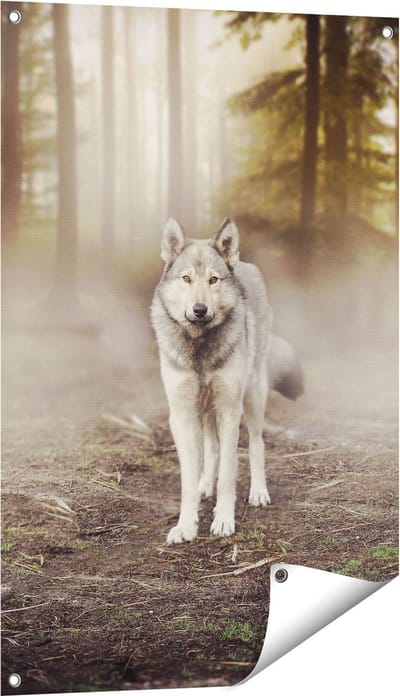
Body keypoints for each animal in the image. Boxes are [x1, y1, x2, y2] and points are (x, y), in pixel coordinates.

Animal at [151, 218, 303, 544]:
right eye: (186, 279)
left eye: (213, 280)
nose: (199, 310)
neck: (200, 347)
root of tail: (244, 263)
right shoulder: (182, 415)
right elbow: (188, 478)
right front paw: (186, 525)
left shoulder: (230, 411)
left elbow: (229, 475)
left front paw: (223, 520)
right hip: (206, 409)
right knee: (212, 449)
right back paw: (204, 485)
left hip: (253, 397)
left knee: (257, 443)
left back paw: (258, 492)